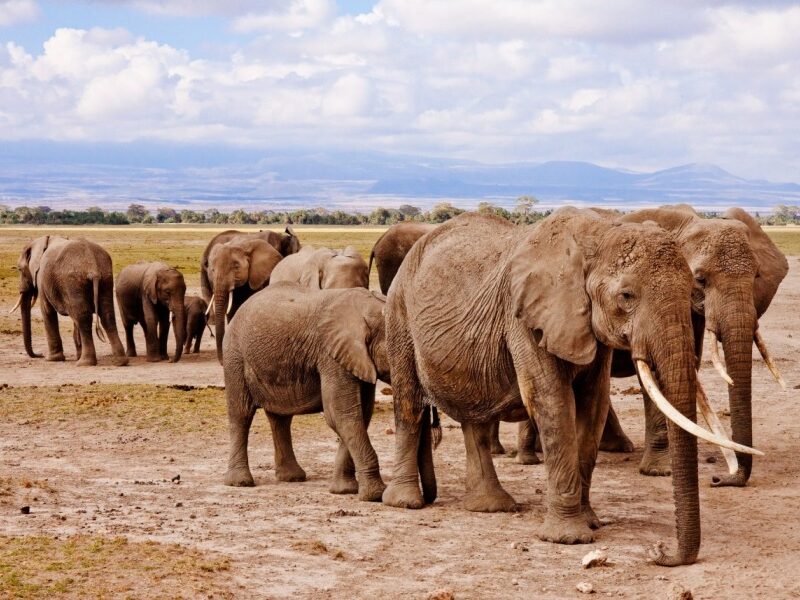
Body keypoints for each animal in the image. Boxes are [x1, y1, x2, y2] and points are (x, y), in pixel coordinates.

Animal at [11, 236, 128, 366]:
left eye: (20, 270)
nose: (39, 355)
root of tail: (93, 265)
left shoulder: (42, 279)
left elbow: (47, 311)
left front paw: (52, 359)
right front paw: (76, 355)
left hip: (73, 280)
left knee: (83, 318)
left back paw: (84, 363)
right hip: (106, 278)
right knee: (107, 315)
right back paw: (120, 361)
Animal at [222, 284, 390, 502]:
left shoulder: (357, 359)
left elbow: (360, 415)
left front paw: (344, 491)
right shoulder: (331, 355)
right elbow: (341, 414)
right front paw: (376, 495)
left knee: (280, 419)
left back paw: (292, 478)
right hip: (234, 356)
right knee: (241, 414)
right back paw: (240, 482)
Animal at [381, 209, 760, 567]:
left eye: (692, 289)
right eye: (626, 296)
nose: (660, 551)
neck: (598, 235)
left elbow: (592, 406)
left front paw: (590, 521)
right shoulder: (525, 318)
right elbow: (553, 402)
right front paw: (569, 538)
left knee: (474, 418)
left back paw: (490, 507)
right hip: (399, 314)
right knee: (409, 404)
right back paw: (406, 502)